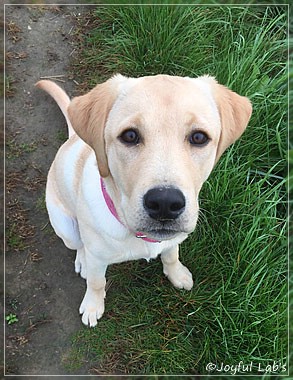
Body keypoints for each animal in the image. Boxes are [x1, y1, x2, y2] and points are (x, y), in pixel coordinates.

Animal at [34, 74, 251, 326]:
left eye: (199, 137)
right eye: (129, 136)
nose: (165, 203)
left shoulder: (173, 240)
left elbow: (171, 255)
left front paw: (177, 274)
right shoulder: (98, 258)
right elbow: (96, 283)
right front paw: (92, 305)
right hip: (66, 228)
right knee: (79, 245)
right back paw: (82, 262)